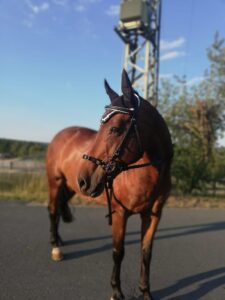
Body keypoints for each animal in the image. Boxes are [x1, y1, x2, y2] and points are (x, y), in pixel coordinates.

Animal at [45, 69, 172, 300]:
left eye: (114, 128)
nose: (84, 179)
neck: (147, 174)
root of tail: (62, 134)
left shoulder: (153, 215)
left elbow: (146, 252)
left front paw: (145, 292)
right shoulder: (119, 213)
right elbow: (118, 252)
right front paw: (116, 291)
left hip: (70, 187)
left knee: (58, 208)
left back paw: (59, 240)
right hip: (55, 182)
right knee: (52, 209)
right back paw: (55, 247)